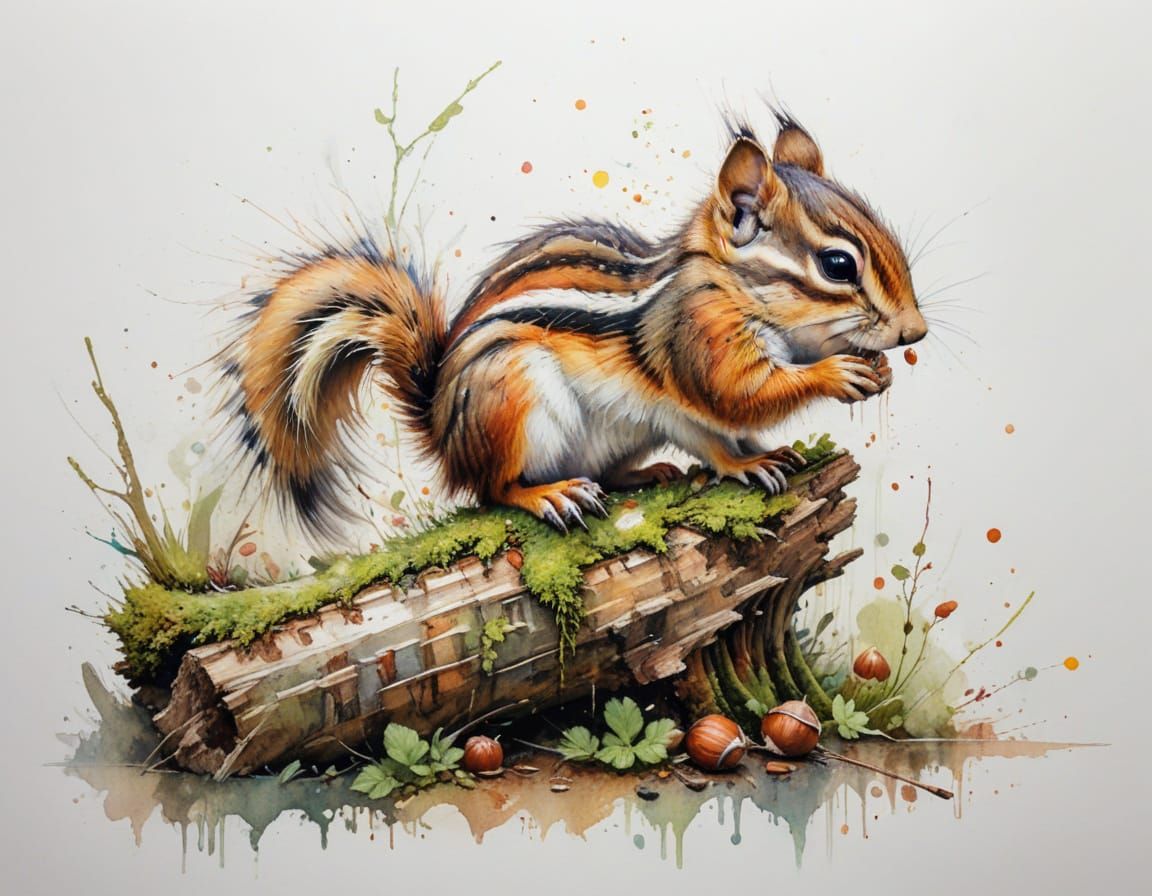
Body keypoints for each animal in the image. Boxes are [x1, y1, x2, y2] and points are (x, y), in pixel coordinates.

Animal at [219, 115, 927, 537]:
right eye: (838, 265)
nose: (914, 333)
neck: (731, 287)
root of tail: (444, 430)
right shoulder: (699, 341)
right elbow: (734, 402)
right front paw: (831, 382)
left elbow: (728, 429)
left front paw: (774, 446)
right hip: (513, 394)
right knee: (493, 488)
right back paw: (548, 496)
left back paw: (643, 475)